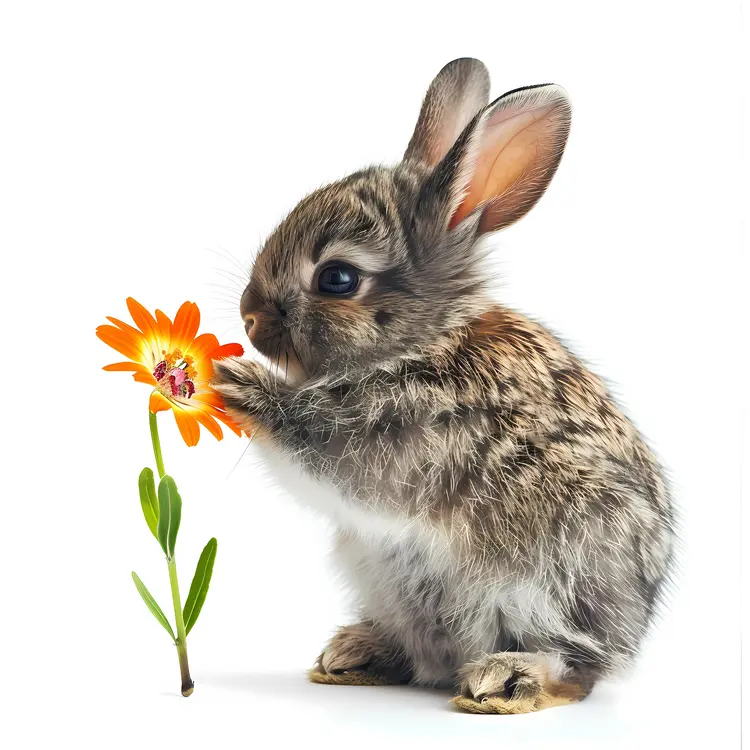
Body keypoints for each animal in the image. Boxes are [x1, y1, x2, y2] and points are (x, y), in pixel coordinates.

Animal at [212, 58, 675, 714]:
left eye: (337, 279)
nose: (249, 319)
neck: (425, 340)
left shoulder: (397, 431)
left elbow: (321, 445)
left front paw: (239, 384)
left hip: (562, 578)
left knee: (577, 668)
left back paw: (506, 678)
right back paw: (354, 654)